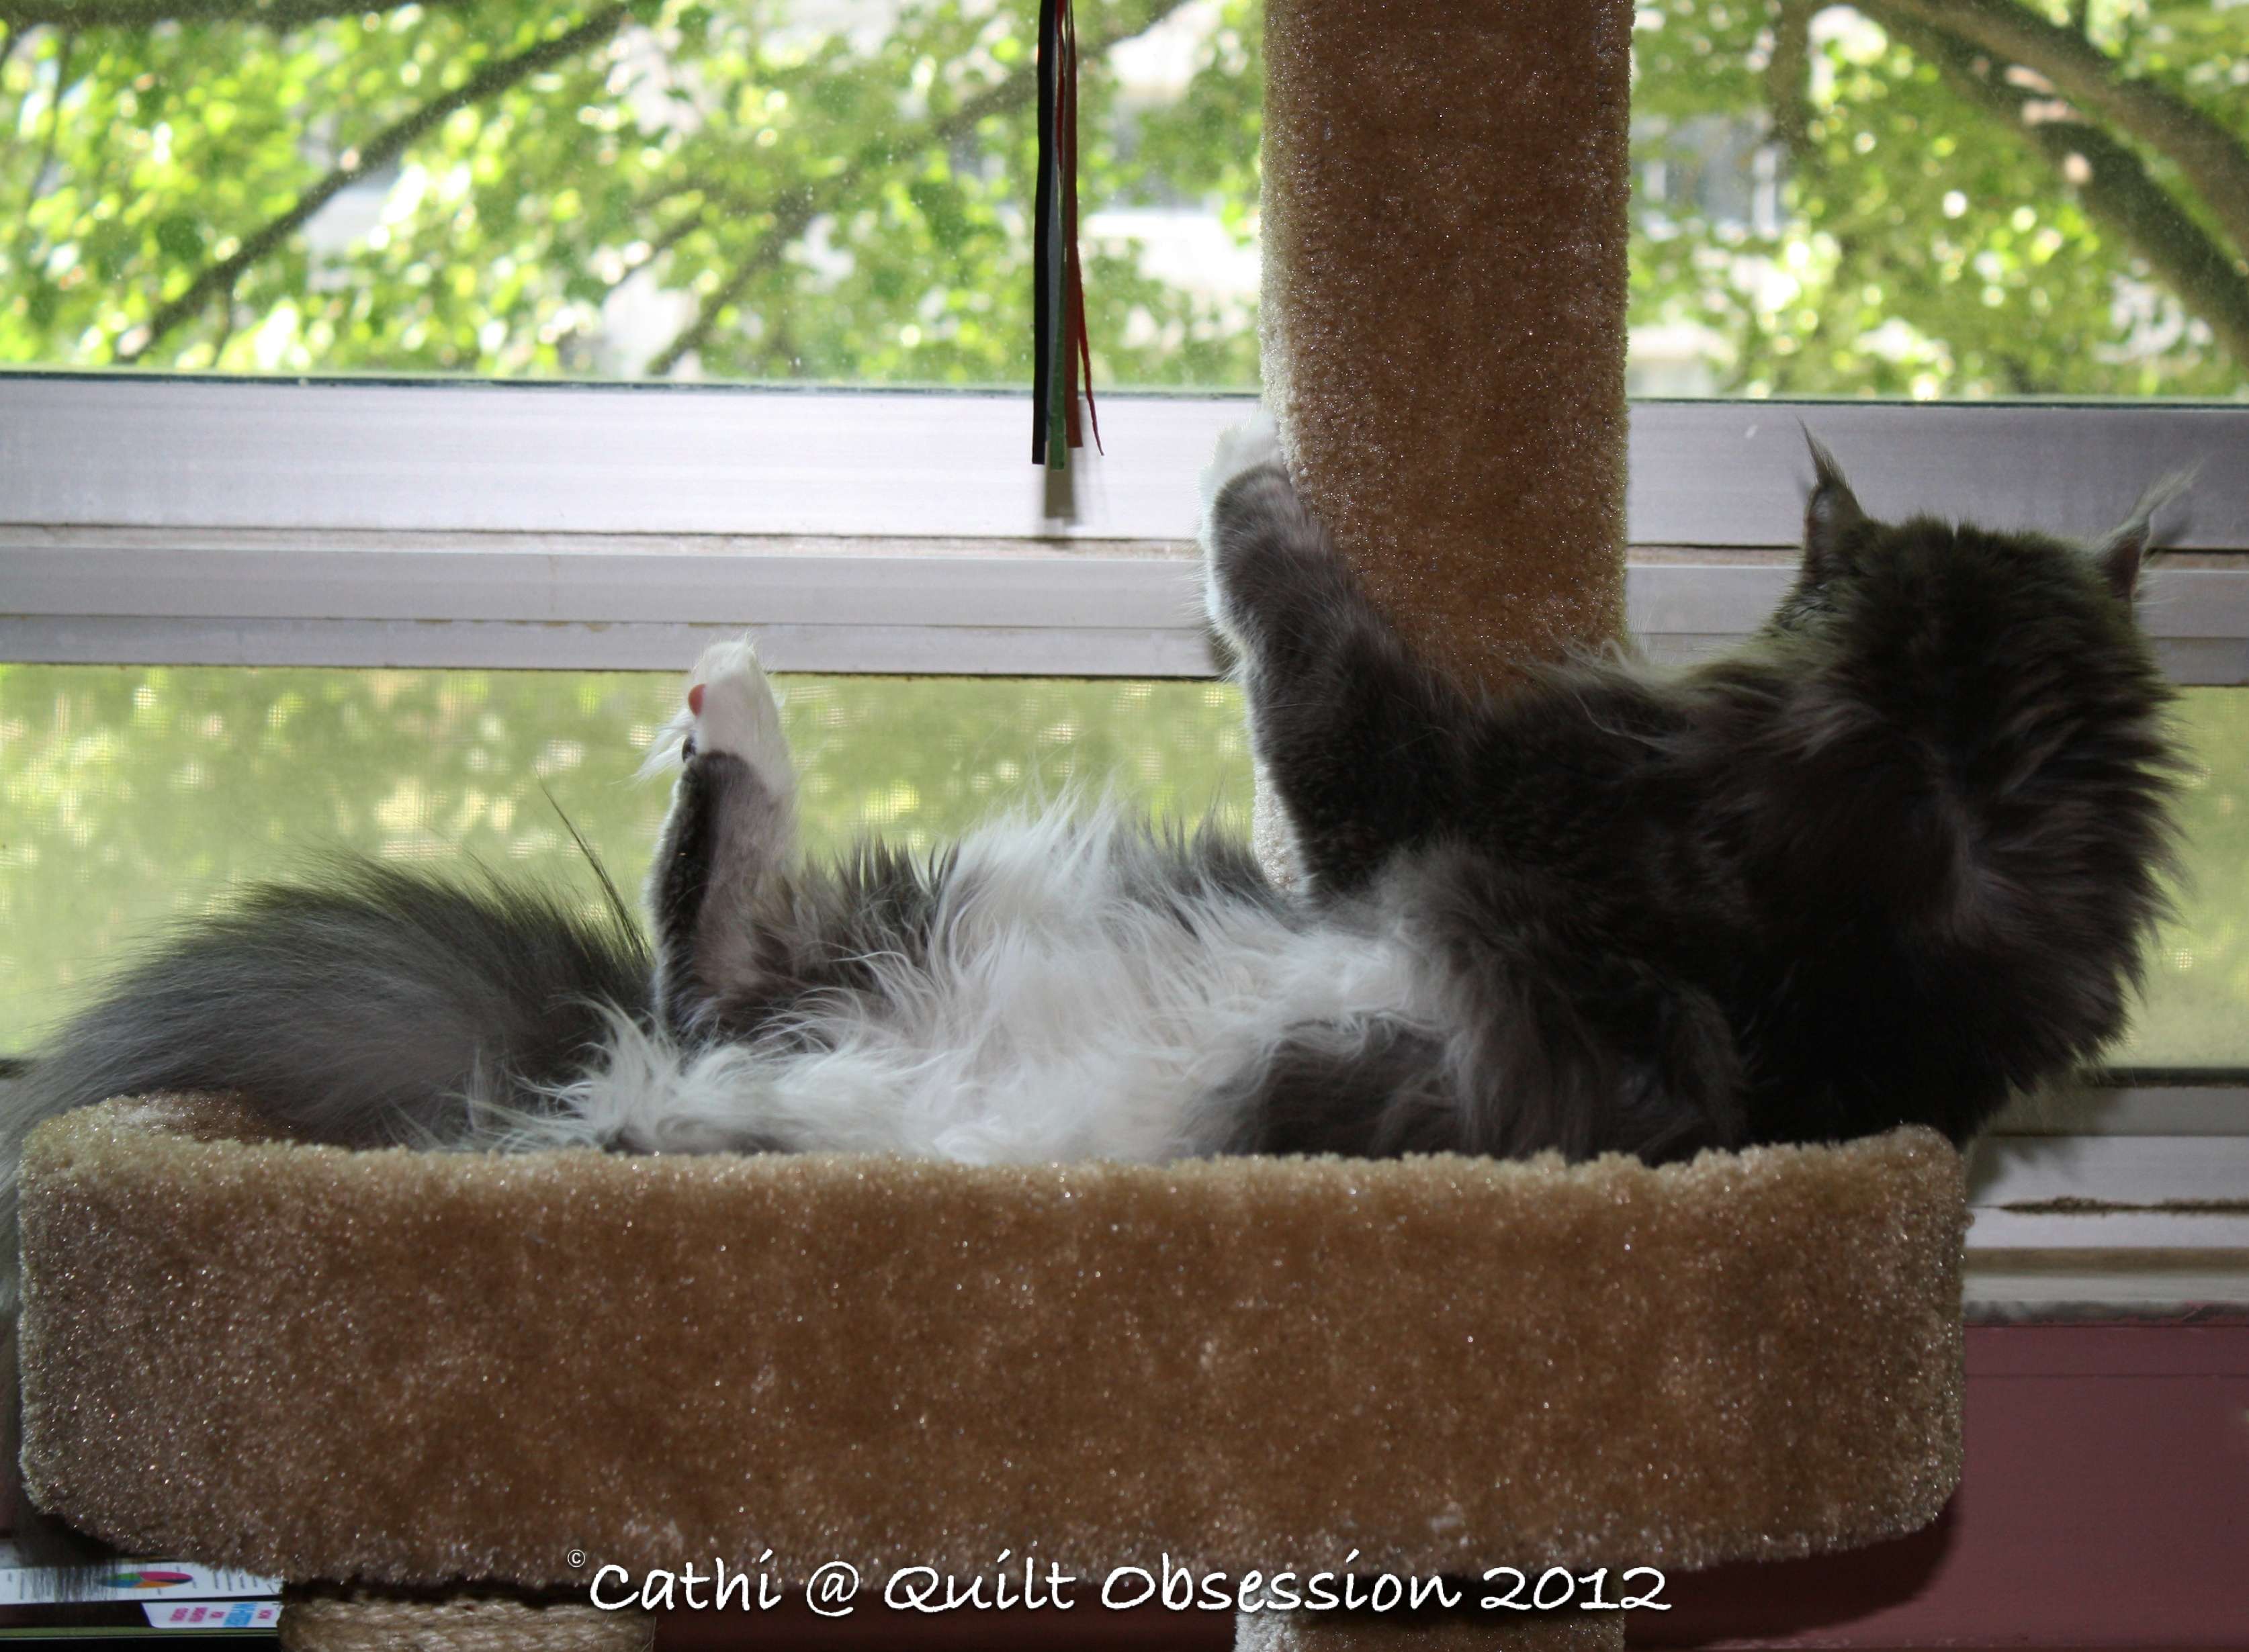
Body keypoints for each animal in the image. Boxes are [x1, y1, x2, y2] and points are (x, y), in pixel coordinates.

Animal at [0, 417, 2183, 1310]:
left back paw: (729, 720)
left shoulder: (1416, 801)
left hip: (779, 1068)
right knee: (712, 940)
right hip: (909, 939)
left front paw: (1233, 454)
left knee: (708, 971)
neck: (1932, 784)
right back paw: (734, 706)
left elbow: (1306, 638)